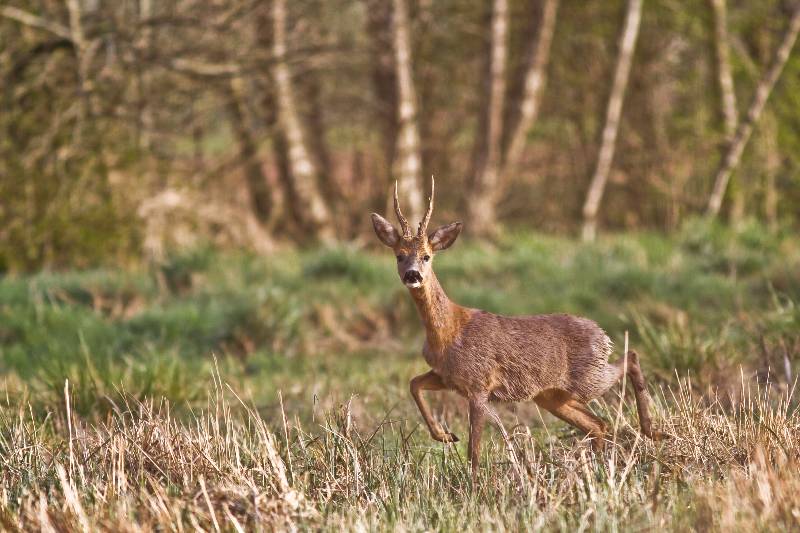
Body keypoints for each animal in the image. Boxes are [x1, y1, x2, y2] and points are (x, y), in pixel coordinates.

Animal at [372, 178, 664, 478]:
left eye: (427, 256)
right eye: (399, 256)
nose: (413, 275)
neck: (449, 332)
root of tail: (603, 335)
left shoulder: (479, 383)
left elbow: (474, 449)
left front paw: (474, 481)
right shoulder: (447, 377)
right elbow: (413, 384)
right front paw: (445, 435)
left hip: (587, 378)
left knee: (630, 359)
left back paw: (651, 432)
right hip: (551, 396)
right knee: (597, 424)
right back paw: (598, 469)